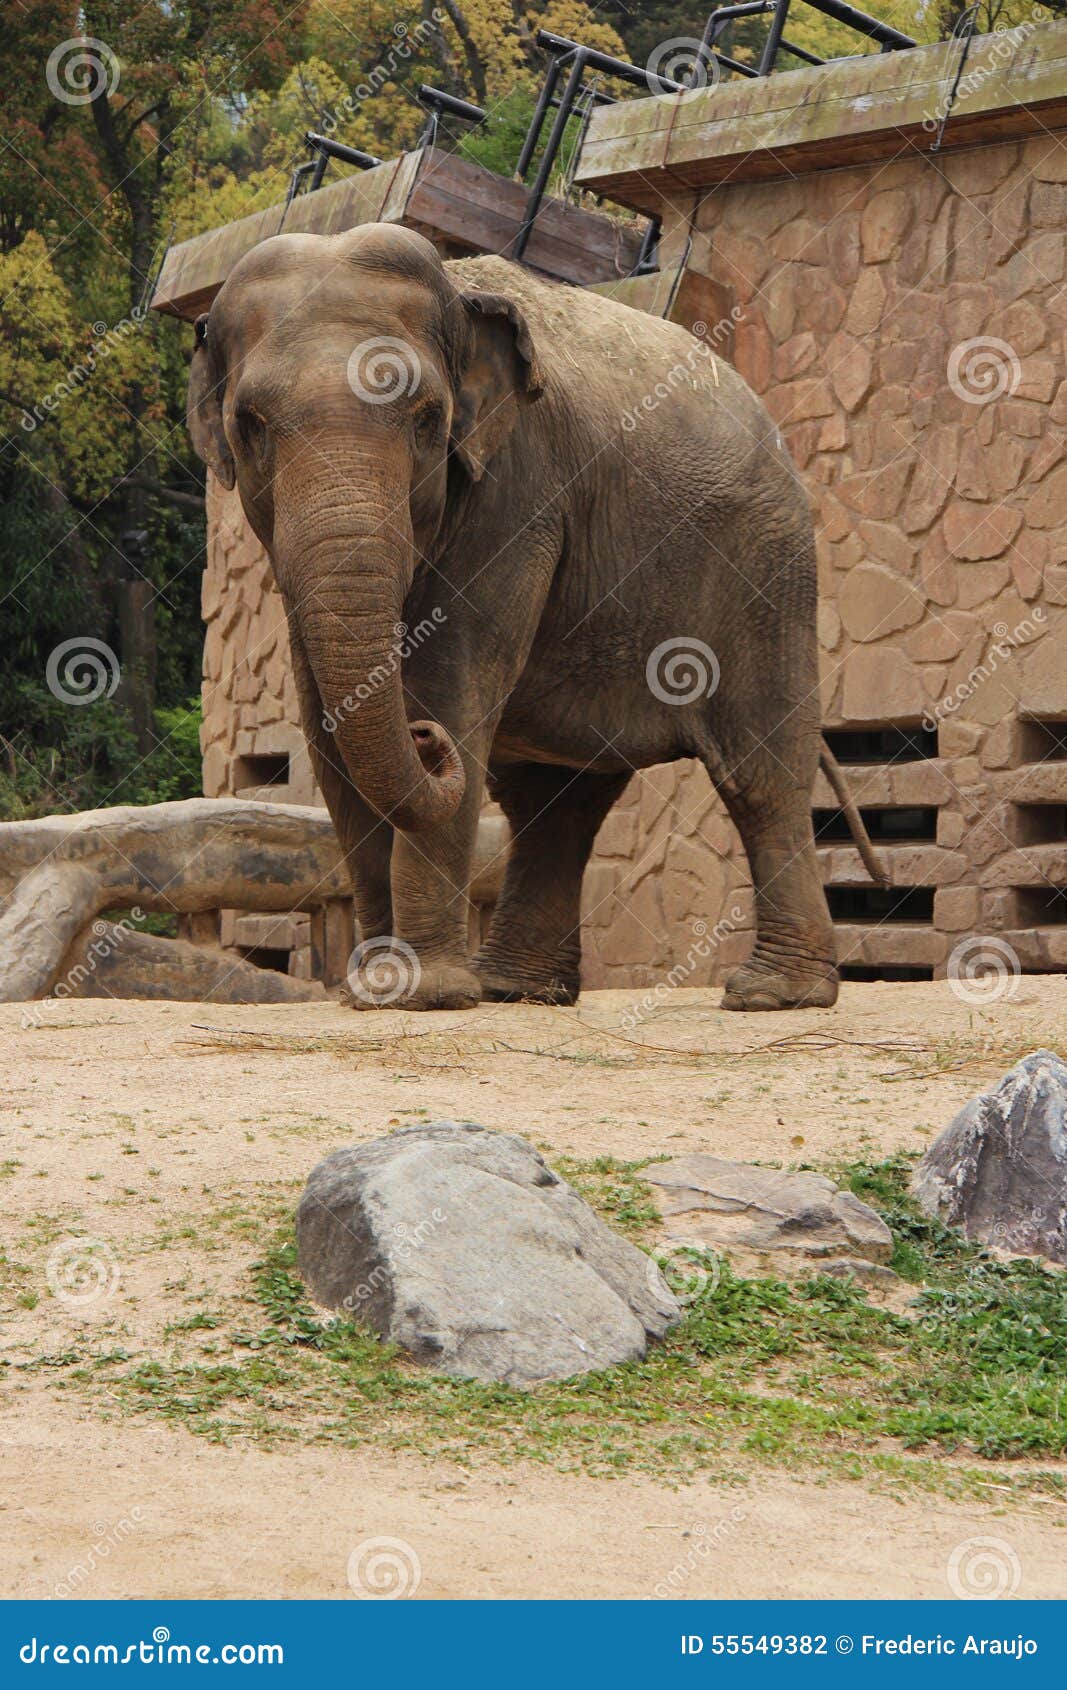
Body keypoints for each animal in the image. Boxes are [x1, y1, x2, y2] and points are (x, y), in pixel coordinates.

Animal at [187, 222, 884, 1013]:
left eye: (428, 421)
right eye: (250, 426)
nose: (422, 740)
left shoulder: (519, 490)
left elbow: (452, 684)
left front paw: (420, 994)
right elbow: (328, 728)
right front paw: (376, 990)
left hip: (768, 564)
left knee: (759, 772)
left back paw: (771, 995)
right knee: (554, 802)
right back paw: (516, 990)